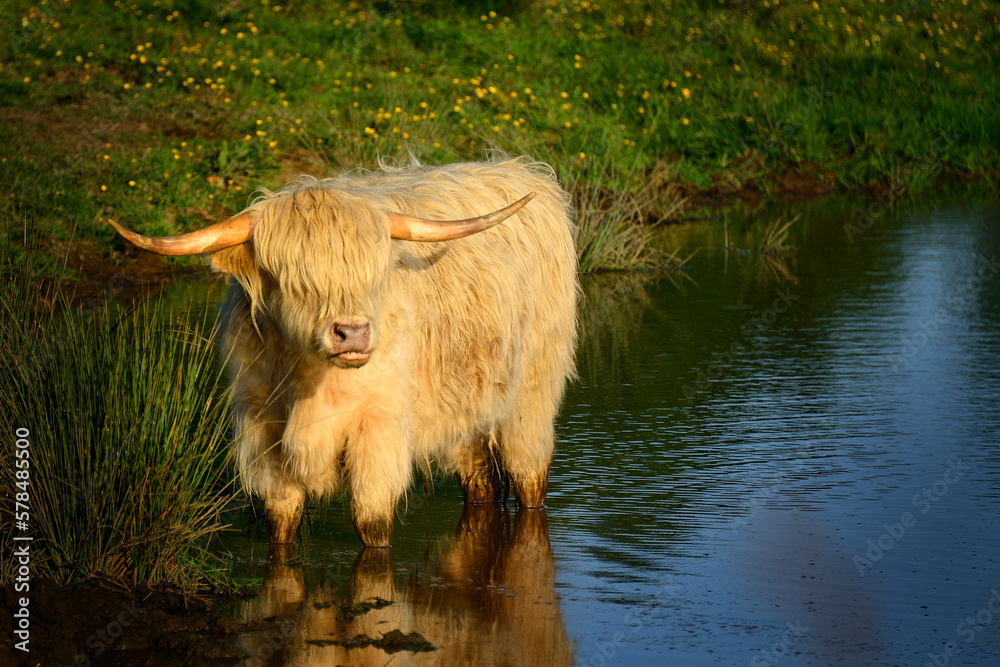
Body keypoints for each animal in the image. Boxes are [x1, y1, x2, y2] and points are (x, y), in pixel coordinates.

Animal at [108, 157, 579, 547]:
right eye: (294, 279)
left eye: (374, 275)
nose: (352, 334)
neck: (309, 380)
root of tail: (521, 170)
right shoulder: (260, 424)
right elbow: (281, 519)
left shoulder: (379, 426)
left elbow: (371, 522)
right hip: (465, 406)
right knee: (479, 480)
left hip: (533, 391)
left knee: (528, 473)